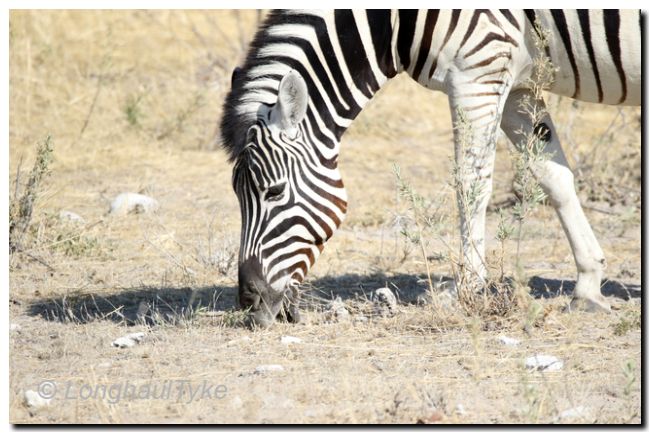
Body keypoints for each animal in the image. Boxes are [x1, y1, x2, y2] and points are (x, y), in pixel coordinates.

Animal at [220, 10, 641, 327]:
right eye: (237, 196)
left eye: (274, 192)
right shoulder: (515, 85)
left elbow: (470, 184)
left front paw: (465, 289)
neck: (393, 19)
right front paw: (588, 285)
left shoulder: (477, 73)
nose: (249, 301)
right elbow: (553, 177)